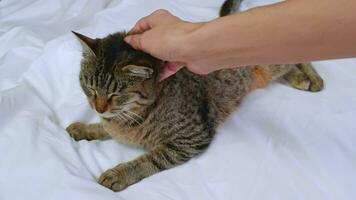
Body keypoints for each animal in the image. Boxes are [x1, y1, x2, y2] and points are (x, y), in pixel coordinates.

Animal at [66, 0, 322, 193]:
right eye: (90, 88)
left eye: (115, 94)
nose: (98, 107)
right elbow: (105, 129)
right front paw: (85, 128)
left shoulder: (190, 138)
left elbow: (150, 159)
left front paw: (119, 173)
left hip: (274, 56)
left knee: (300, 54)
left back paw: (309, 78)